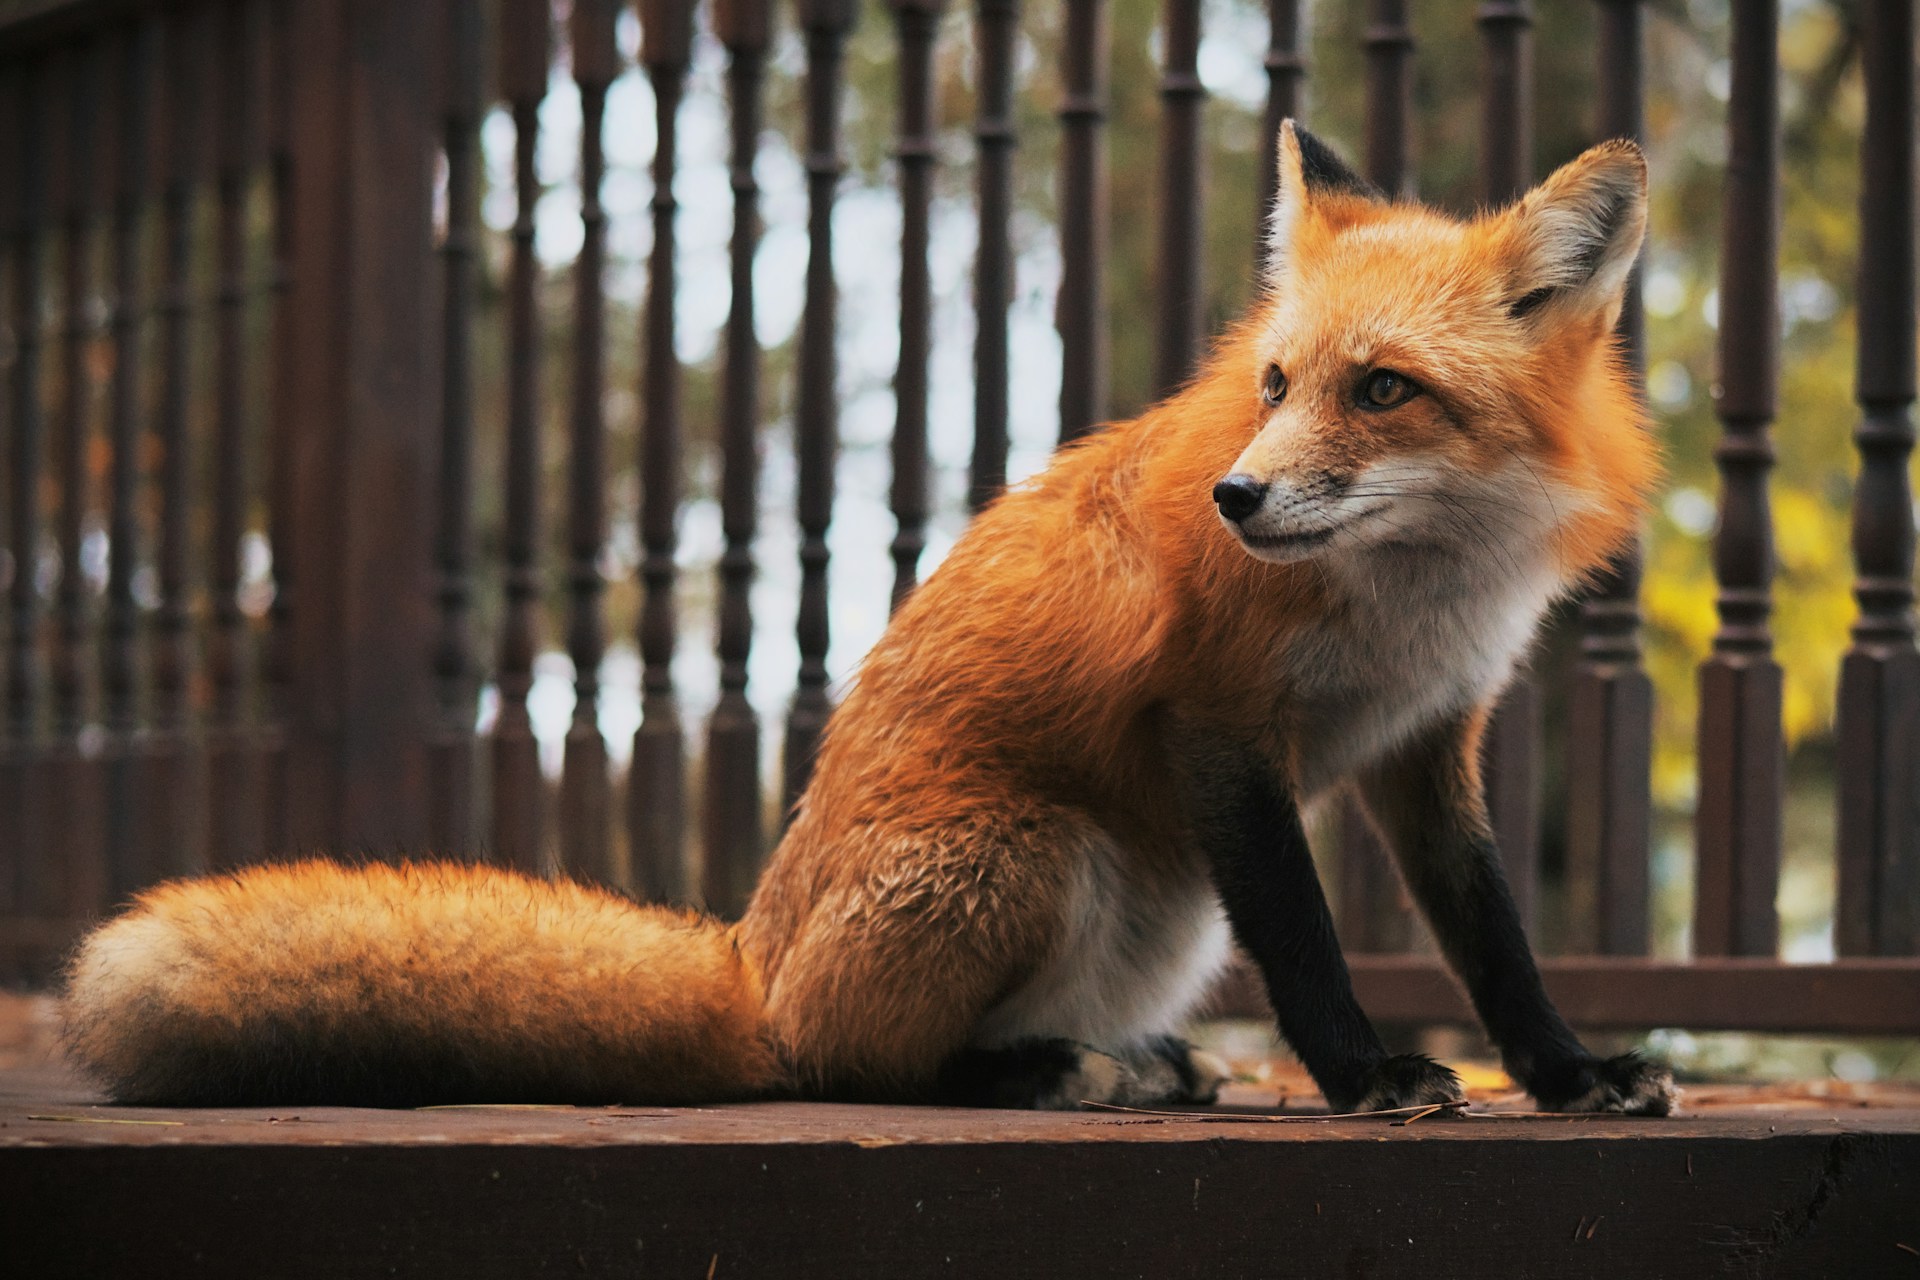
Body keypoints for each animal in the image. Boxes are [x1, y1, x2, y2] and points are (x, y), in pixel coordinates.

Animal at [62, 123, 1673, 1116]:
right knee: (853, 1068)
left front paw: (1570, 1073)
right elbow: (1308, 942)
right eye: (1278, 384)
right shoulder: (1217, 723)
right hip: (1038, 851)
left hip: (1157, 912)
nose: (1236, 498)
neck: (1414, 590)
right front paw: (1365, 1078)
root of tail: (753, 962)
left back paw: (1130, 1057)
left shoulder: (1427, 741)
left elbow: (1491, 932)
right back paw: (1046, 1074)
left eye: (1382, 388)